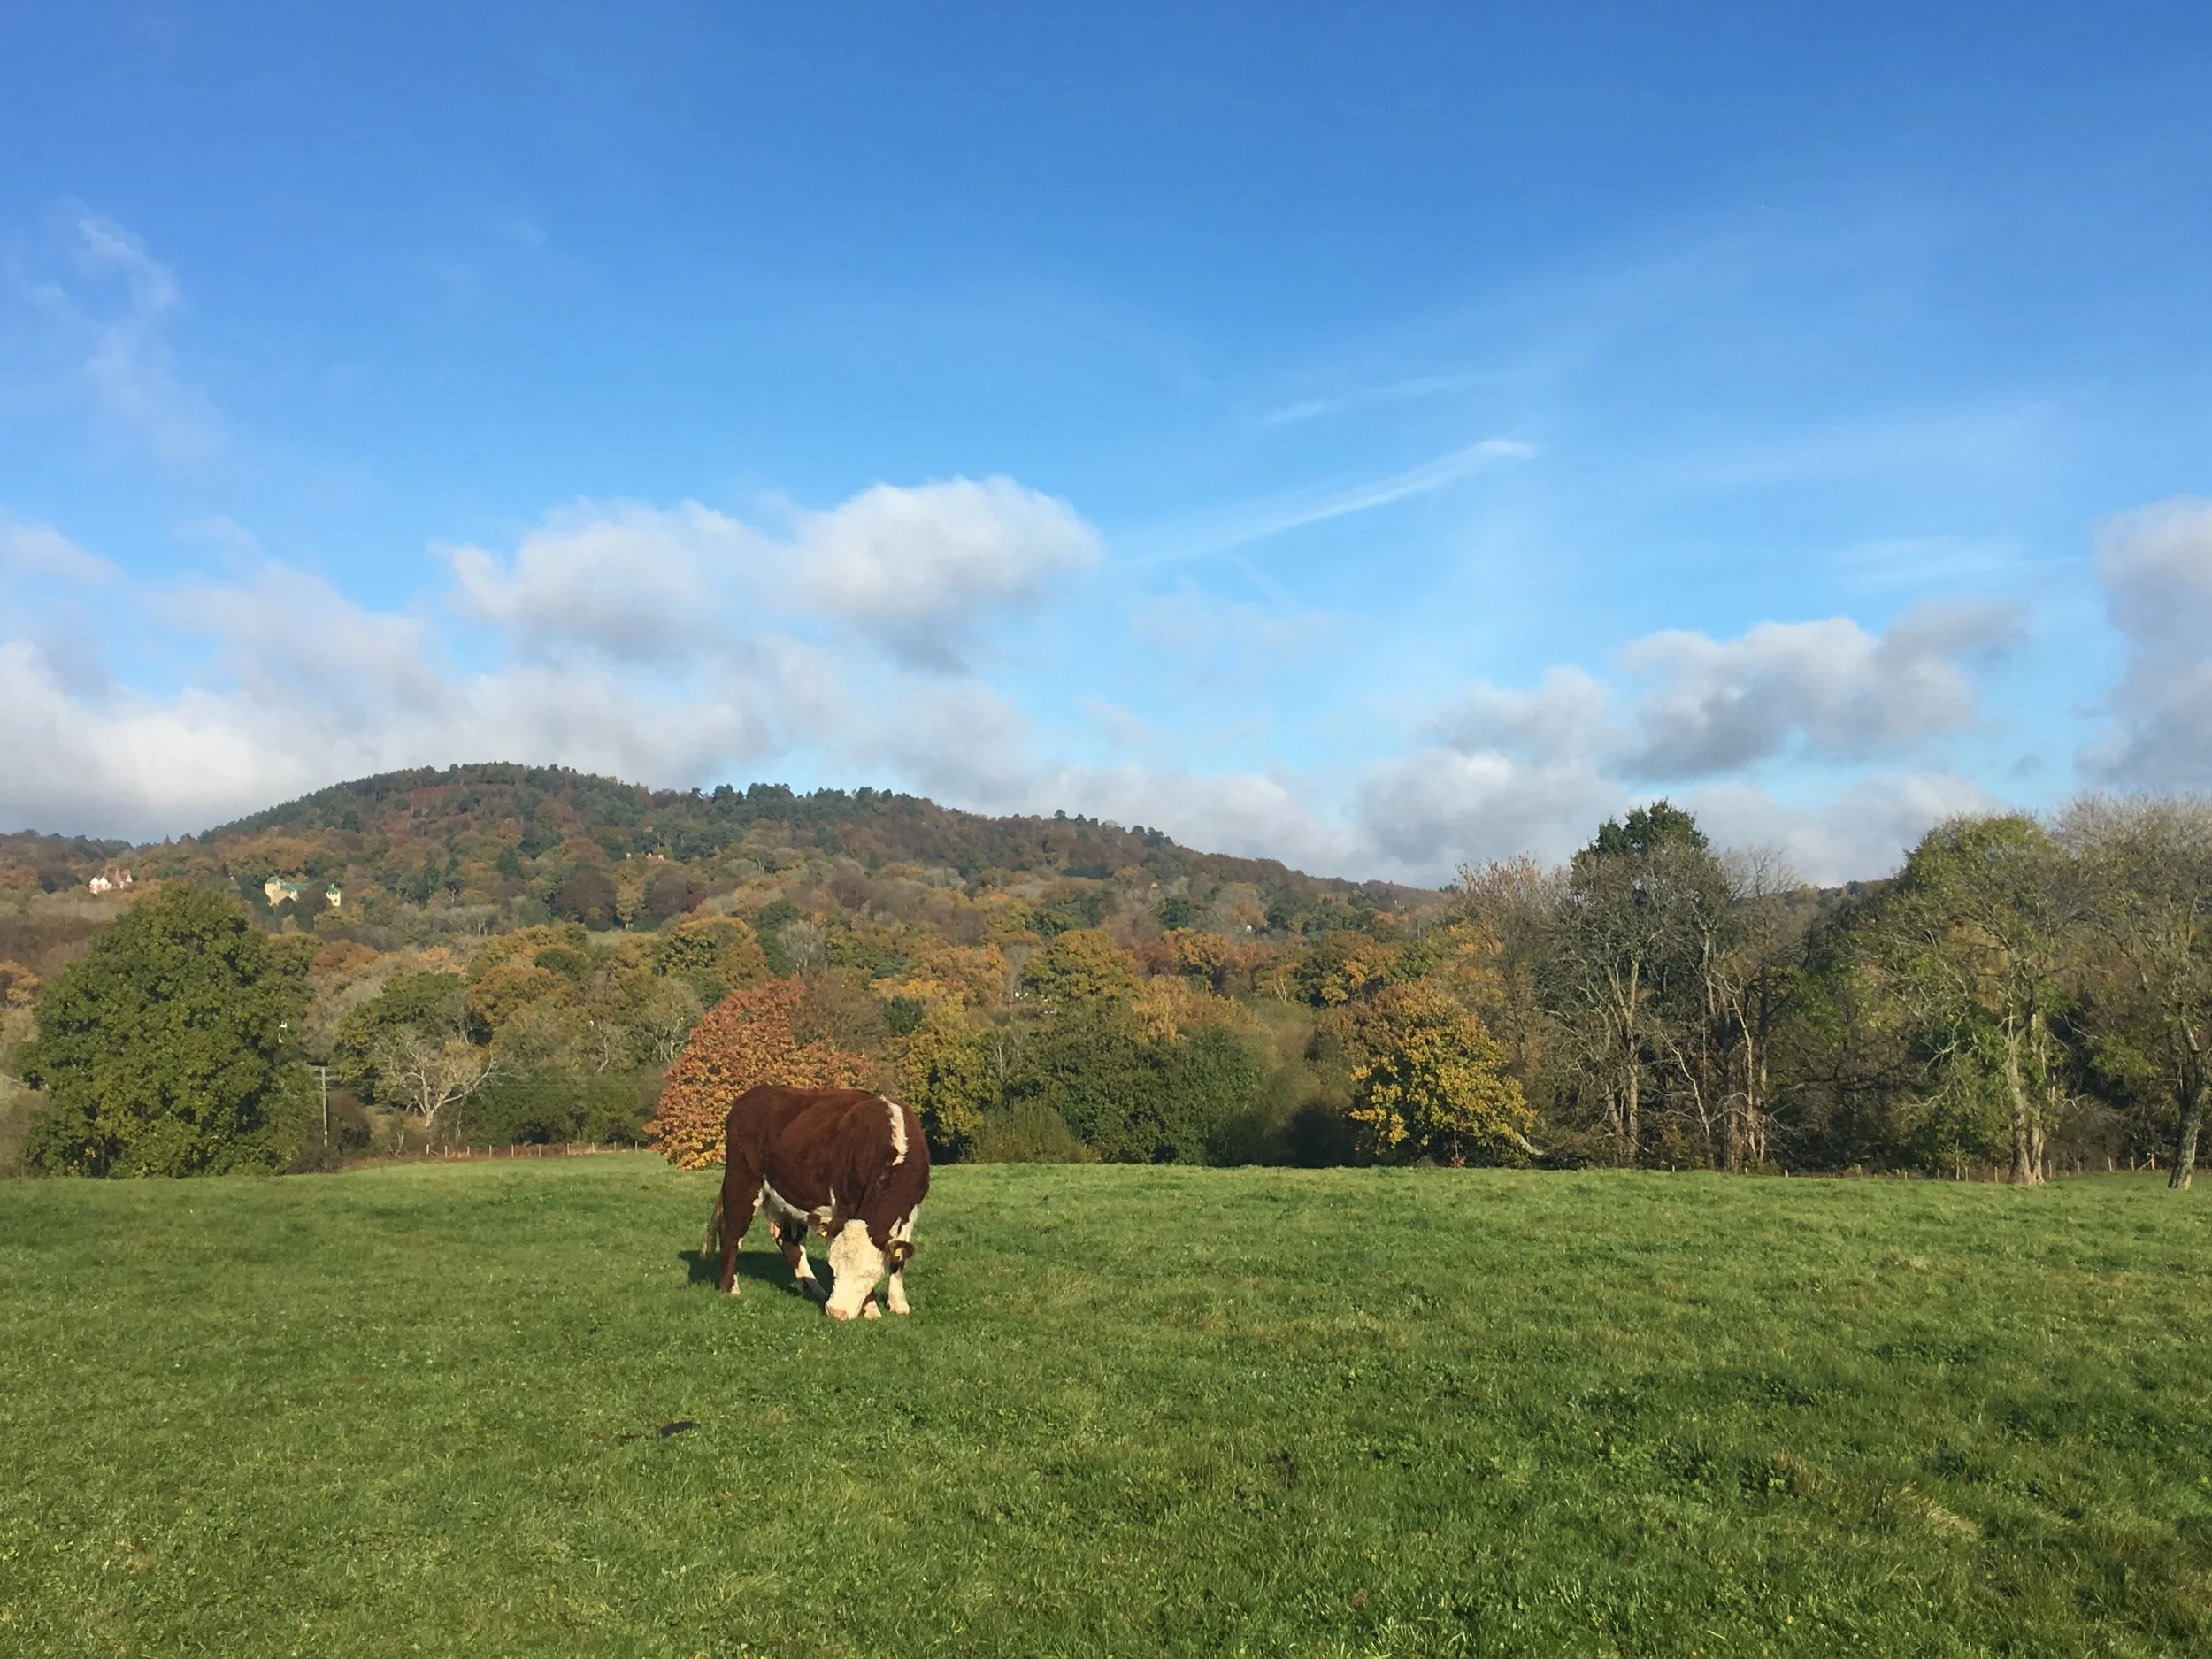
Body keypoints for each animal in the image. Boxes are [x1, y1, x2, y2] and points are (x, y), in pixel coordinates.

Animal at [701, 1085, 929, 1320]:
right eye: (833, 1268)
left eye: (869, 1273)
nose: (836, 1311)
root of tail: (754, 1093)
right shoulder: (844, 1205)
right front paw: (872, 1308)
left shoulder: (911, 1211)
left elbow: (899, 1258)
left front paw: (899, 1304)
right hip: (742, 1179)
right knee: (731, 1231)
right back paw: (729, 1287)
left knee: (789, 1242)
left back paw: (814, 1289)